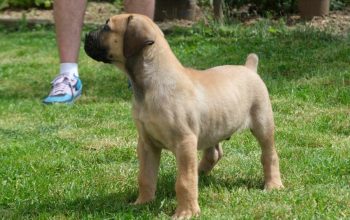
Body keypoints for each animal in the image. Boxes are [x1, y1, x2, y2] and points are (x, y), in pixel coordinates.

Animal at [85, 14, 284, 219]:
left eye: (107, 28)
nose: (86, 36)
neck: (150, 84)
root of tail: (249, 68)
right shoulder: (146, 143)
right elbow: (145, 176)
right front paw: (142, 203)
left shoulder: (184, 142)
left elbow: (184, 181)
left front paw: (186, 212)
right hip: (213, 126)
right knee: (214, 153)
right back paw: (200, 172)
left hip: (262, 123)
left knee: (269, 154)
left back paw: (273, 184)